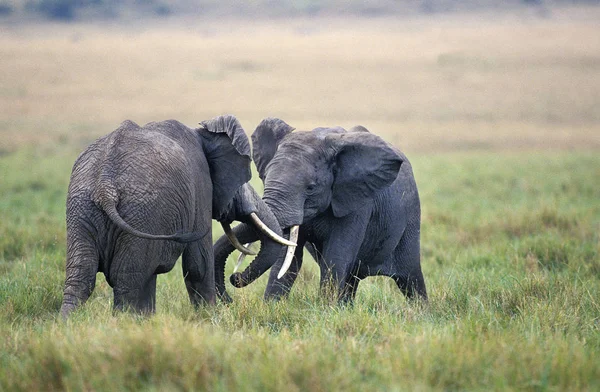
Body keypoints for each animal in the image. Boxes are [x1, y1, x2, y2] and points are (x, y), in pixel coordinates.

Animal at [61, 115, 292, 316]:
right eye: (241, 180)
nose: (235, 279)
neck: (202, 134)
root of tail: (105, 185)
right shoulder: (200, 185)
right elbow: (199, 264)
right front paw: (211, 320)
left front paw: (147, 322)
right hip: (140, 212)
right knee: (127, 280)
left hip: (82, 209)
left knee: (81, 276)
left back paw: (69, 323)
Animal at [214, 118, 426, 304]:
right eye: (266, 177)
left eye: (311, 187)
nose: (234, 277)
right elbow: (288, 258)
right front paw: (271, 308)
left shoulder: (357, 202)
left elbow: (335, 258)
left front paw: (326, 310)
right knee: (352, 280)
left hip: (411, 218)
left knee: (411, 277)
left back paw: (420, 313)